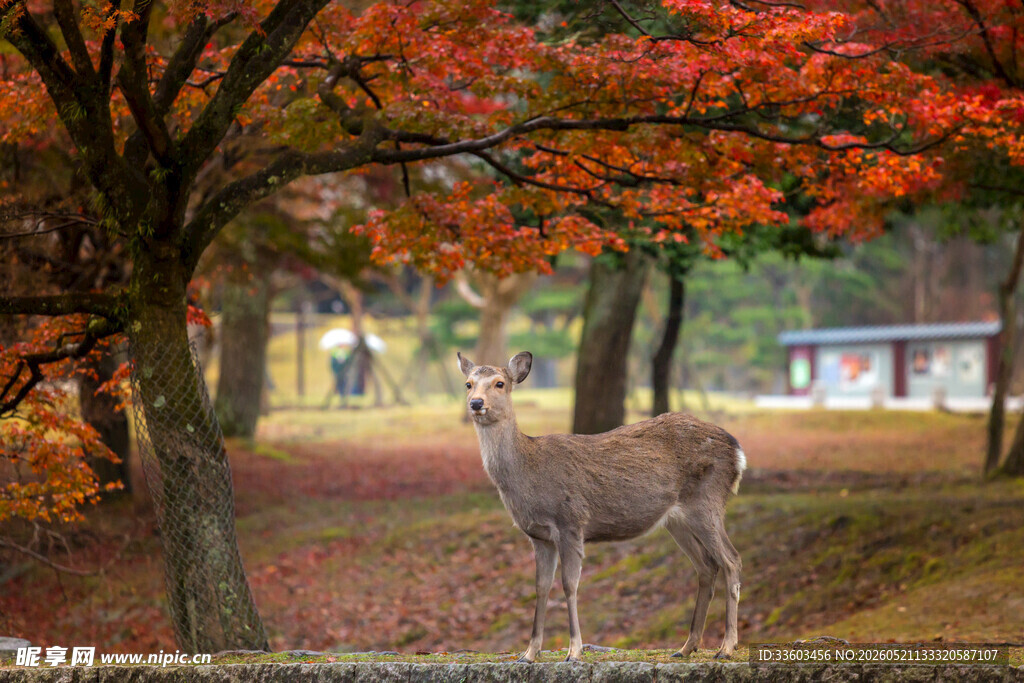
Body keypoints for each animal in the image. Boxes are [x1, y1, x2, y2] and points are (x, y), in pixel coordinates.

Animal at [458, 350, 745, 662]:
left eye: (499, 383)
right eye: (468, 383)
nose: (476, 403)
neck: (528, 472)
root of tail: (737, 452)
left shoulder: (571, 522)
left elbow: (569, 584)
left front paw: (574, 651)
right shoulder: (538, 536)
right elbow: (541, 587)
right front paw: (529, 653)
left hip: (707, 501)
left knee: (731, 560)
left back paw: (726, 647)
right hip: (677, 520)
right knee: (706, 567)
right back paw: (686, 647)